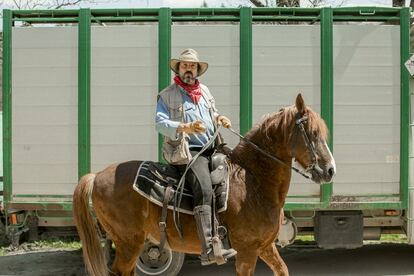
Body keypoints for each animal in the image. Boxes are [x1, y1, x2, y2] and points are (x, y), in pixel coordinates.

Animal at [73, 94, 334, 274]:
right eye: (312, 133)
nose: (330, 170)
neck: (252, 182)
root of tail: (96, 176)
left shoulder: (265, 247)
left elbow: (283, 270)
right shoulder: (247, 251)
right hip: (129, 243)